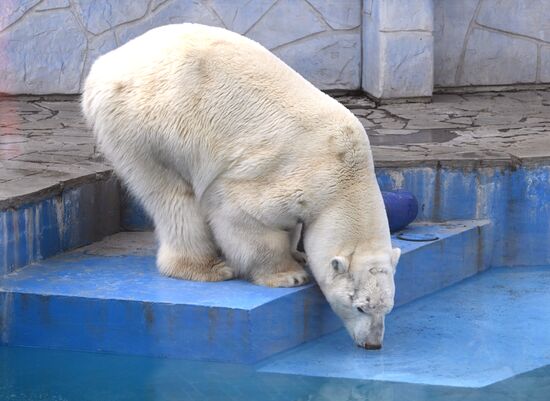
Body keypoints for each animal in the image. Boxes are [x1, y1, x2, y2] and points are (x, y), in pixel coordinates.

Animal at [82, 23, 402, 346]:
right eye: (359, 306)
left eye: (386, 307)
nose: (373, 344)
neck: (346, 171)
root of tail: (103, 66)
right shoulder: (285, 174)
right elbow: (242, 215)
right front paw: (288, 274)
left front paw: (298, 253)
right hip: (147, 126)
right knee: (172, 197)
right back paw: (207, 267)